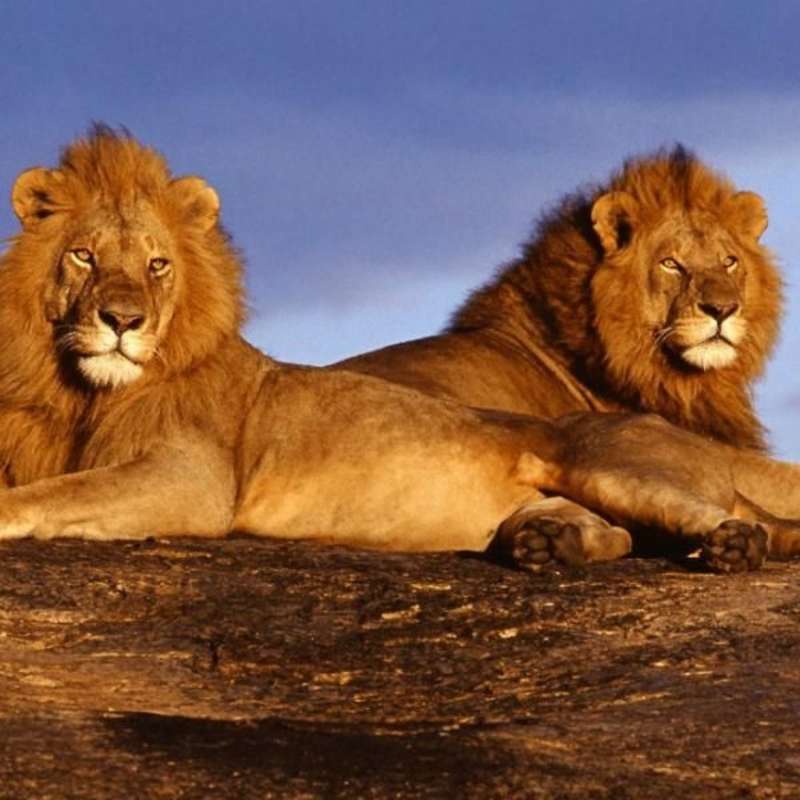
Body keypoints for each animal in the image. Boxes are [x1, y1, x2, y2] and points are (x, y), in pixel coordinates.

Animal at [2, 126, 800, 575]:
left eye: (157, 264)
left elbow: (57, 493)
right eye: (82, 255)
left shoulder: (191, 478)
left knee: (750, 524)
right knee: (617, 532)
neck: (86, 391)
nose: (121, 319)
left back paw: (728, 548)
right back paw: (549, 546)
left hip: (612, 464)